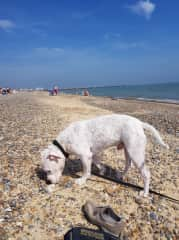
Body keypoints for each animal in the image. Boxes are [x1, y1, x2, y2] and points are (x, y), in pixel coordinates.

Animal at [41, 114, 169, 197]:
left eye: (48, 171)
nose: (48, 182)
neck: (64, 142)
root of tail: (139, 123)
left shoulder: (85, 155)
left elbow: (86, 170)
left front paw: (82, 180)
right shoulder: (93, 154)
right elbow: (97, 163)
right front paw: (102, 171)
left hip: (135, 152)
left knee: (146, 174)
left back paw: (145, 192)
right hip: (128, 150)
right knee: (128, 164)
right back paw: (121, 175)